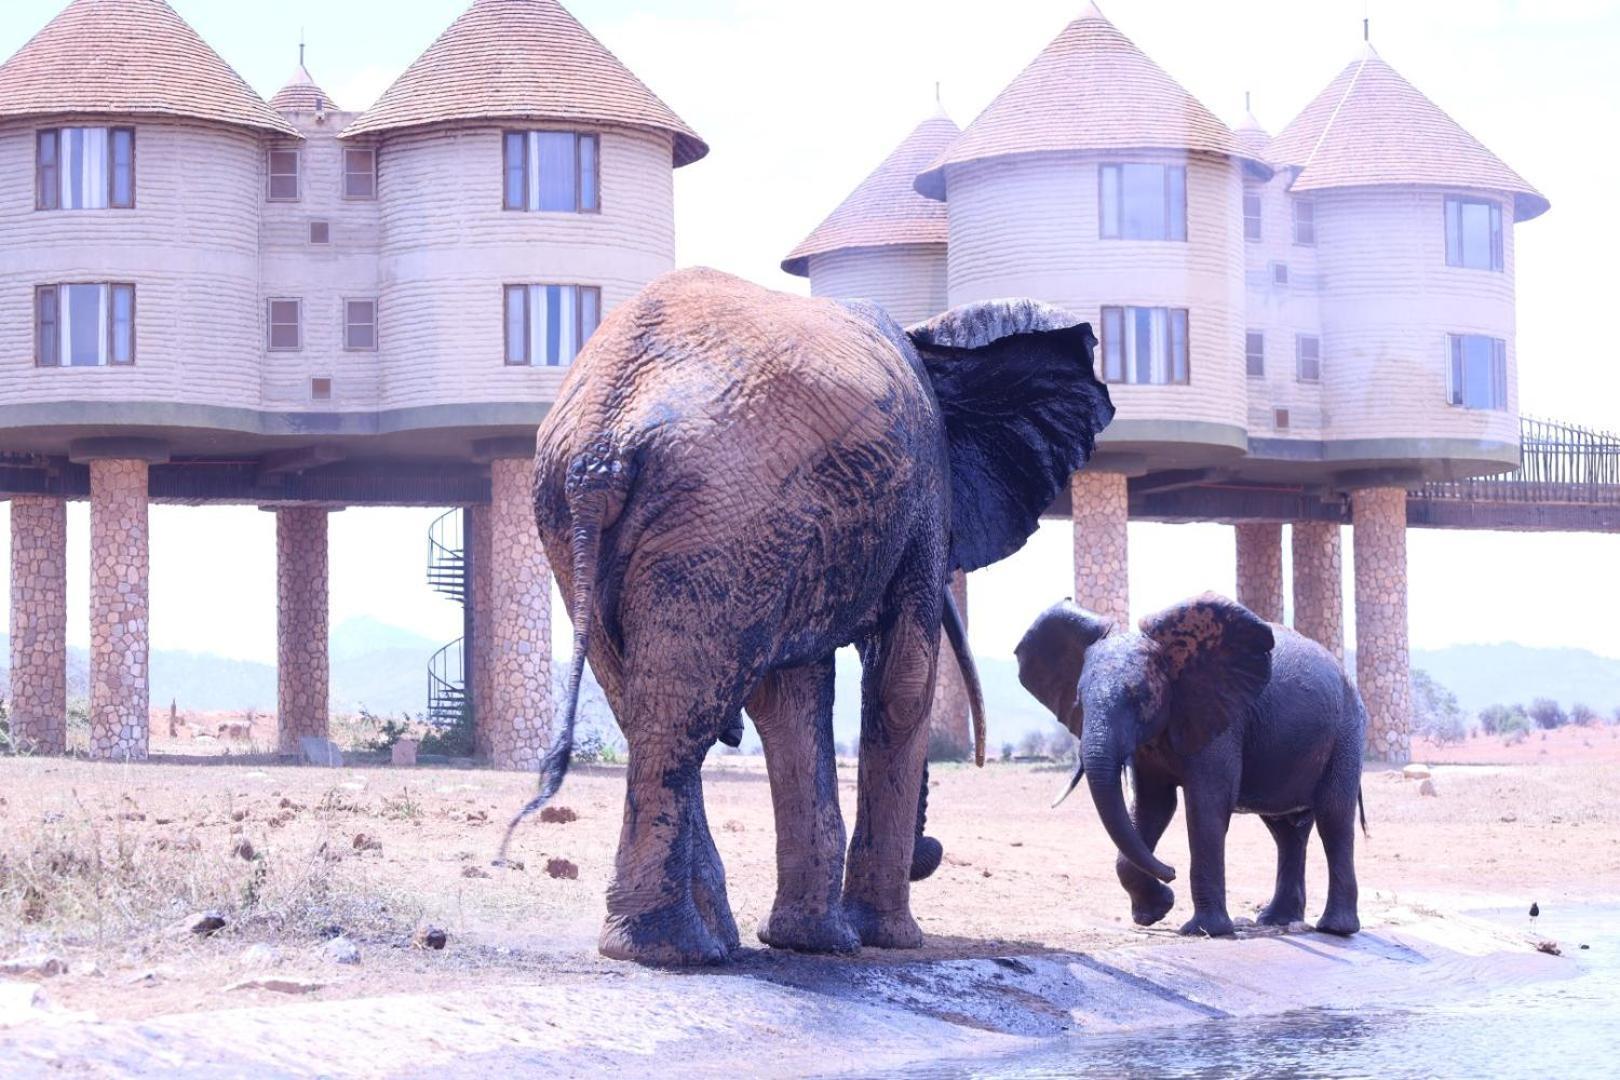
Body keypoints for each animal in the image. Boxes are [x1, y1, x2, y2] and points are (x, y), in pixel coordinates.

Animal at [515, 268, 1114, 965]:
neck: (937, 347)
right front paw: (886, 940)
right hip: (716, 514)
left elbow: (790, 694)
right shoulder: (922, 497)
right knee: (680, 711)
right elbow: (902, 684)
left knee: (649, 703)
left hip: (605, 518)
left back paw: (702, 946)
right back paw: (672, 951)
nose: (931, 852)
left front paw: (813, 944)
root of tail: (602, 447)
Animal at [1017, 592, 1360, 939]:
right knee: (1286, 831)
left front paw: (1204, 930)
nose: (1171, 871)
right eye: (1079, 701)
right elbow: (1152, 806)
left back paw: (1335, 929)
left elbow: (1206, 805)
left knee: (1333, 818)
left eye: (1140, 697)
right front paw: (1155, 911)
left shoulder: (1222, 719)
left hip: (1346, 732)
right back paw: (1275, 920)